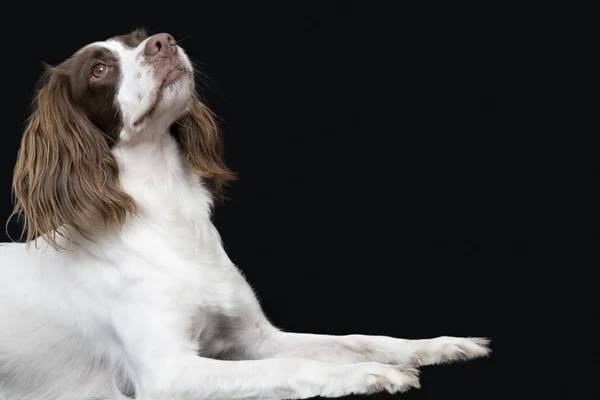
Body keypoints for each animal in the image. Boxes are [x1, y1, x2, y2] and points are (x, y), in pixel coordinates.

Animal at [0, 28, 488, 400]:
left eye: (138, 38)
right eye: (99, 70)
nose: (164, 41)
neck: (166, 214)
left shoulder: (253, 337)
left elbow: (356, 340)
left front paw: (439, 345)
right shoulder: (167, 374)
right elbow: (288, 367)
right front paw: (365, 375)